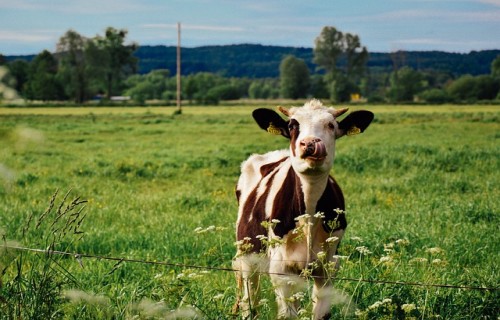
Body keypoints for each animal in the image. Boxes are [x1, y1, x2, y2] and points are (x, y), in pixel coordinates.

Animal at [232, 99, 374, 318]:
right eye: (292, 125)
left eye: (331, 125)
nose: (309, 143)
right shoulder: (281, 270)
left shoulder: (328, 267)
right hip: (248, 255)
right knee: (250, 300)